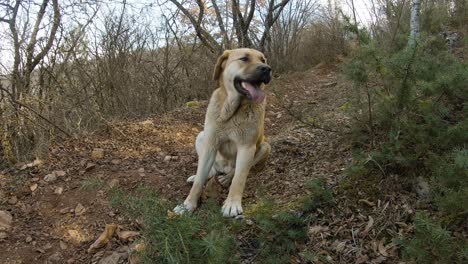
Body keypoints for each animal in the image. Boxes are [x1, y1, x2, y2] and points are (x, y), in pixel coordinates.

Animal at [175, 48, 270, 218]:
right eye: (244, 58)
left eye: (263, 60)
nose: (267, 69)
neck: (232, 111)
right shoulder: (210, 143)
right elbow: (200, 180)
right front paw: (188, 205)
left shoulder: (247, 147)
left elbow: (239, 178)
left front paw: (232, 204)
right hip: (202, 137)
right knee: (210, 170)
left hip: (265, 146)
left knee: (236, 171)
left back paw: (226, 178)